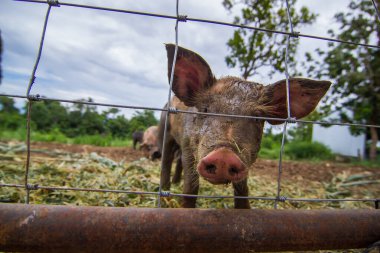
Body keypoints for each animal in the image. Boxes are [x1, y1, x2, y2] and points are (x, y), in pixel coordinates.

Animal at [157, 44, 330, 210]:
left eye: (257, 118)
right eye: (205, 109)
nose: (224, 155)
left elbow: (242, 188)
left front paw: (245, 209)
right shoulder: (187, 144)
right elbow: (191, 185)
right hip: (165, 131)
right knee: (167, 159)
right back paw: (166, 192)